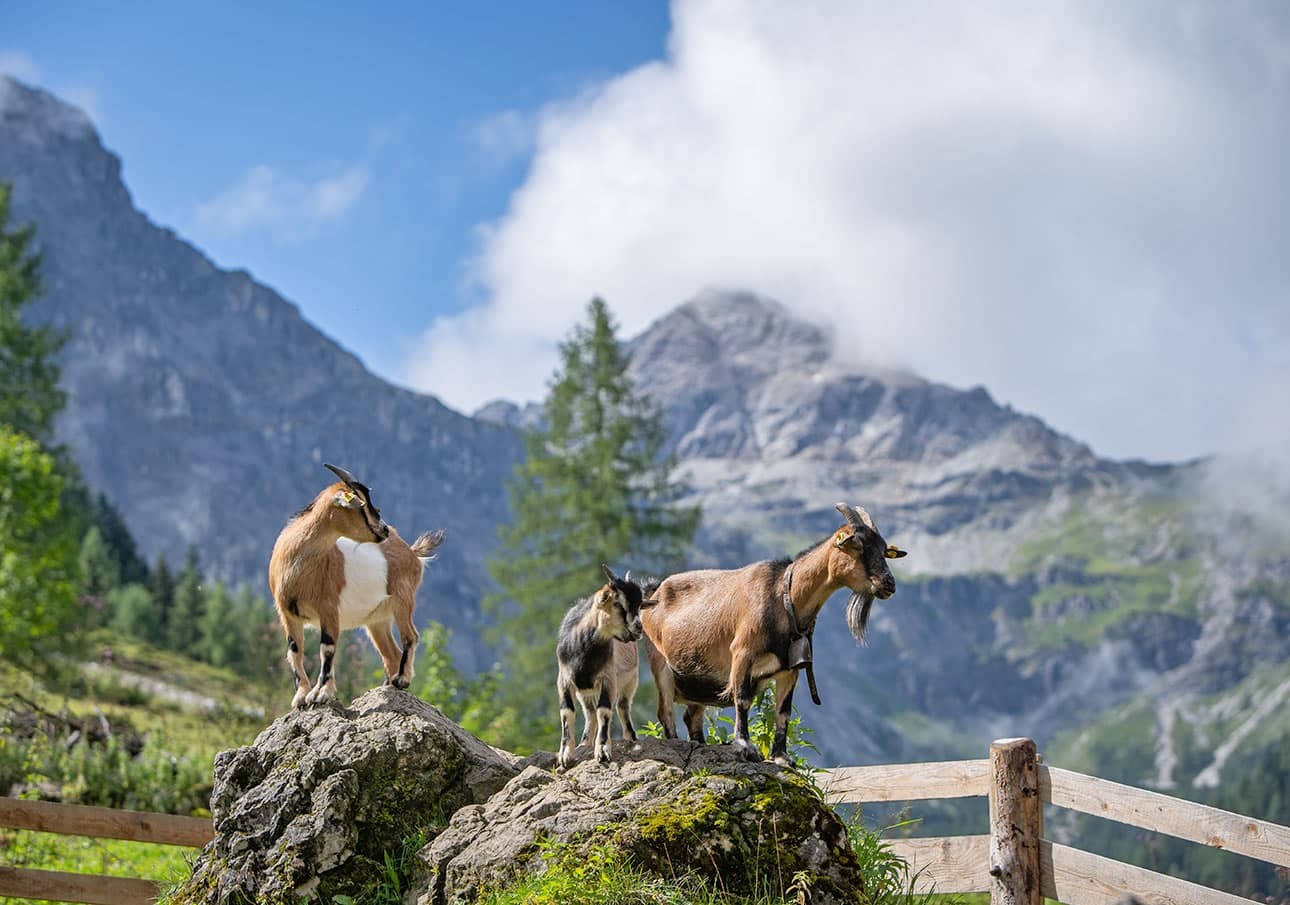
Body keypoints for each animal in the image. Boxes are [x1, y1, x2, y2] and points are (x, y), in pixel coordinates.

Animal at [268, 463, 446, 708]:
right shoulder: (287, 613)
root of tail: (412, 552)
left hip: (403, 600)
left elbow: (327, 648)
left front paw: (321, 694)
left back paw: (402, 679)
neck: (297, 568)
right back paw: (389, 684)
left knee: (411, 635)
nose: (384, 529)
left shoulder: (329, 609)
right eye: (362, 505)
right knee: (391, 652)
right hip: (377, 620)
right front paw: (301, 696)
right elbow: (294, 652)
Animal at [556, 564, 652, 767]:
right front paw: (565, 756)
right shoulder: (564, 680)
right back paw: (584, 744)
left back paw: (630, 739)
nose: (638, 628)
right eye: (618, 604)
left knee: (622, 707)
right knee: (590, 713)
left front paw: (602, 751)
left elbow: (605, 711)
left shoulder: (608, 679)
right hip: (585, 692)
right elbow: (567, 713)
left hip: (630, 681)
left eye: (639, 605)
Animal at [641, 503, 906, 763]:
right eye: (856, 544)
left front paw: (781, 757)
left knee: (691, 717)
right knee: (665, 712)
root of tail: (652, 592)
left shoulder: (790, 669)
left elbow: (783, 712)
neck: (784, 596)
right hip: (661, 665)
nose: (889, 584)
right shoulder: (742, 653)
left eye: (884, 550)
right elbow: (743, 699)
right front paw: (745, 746)